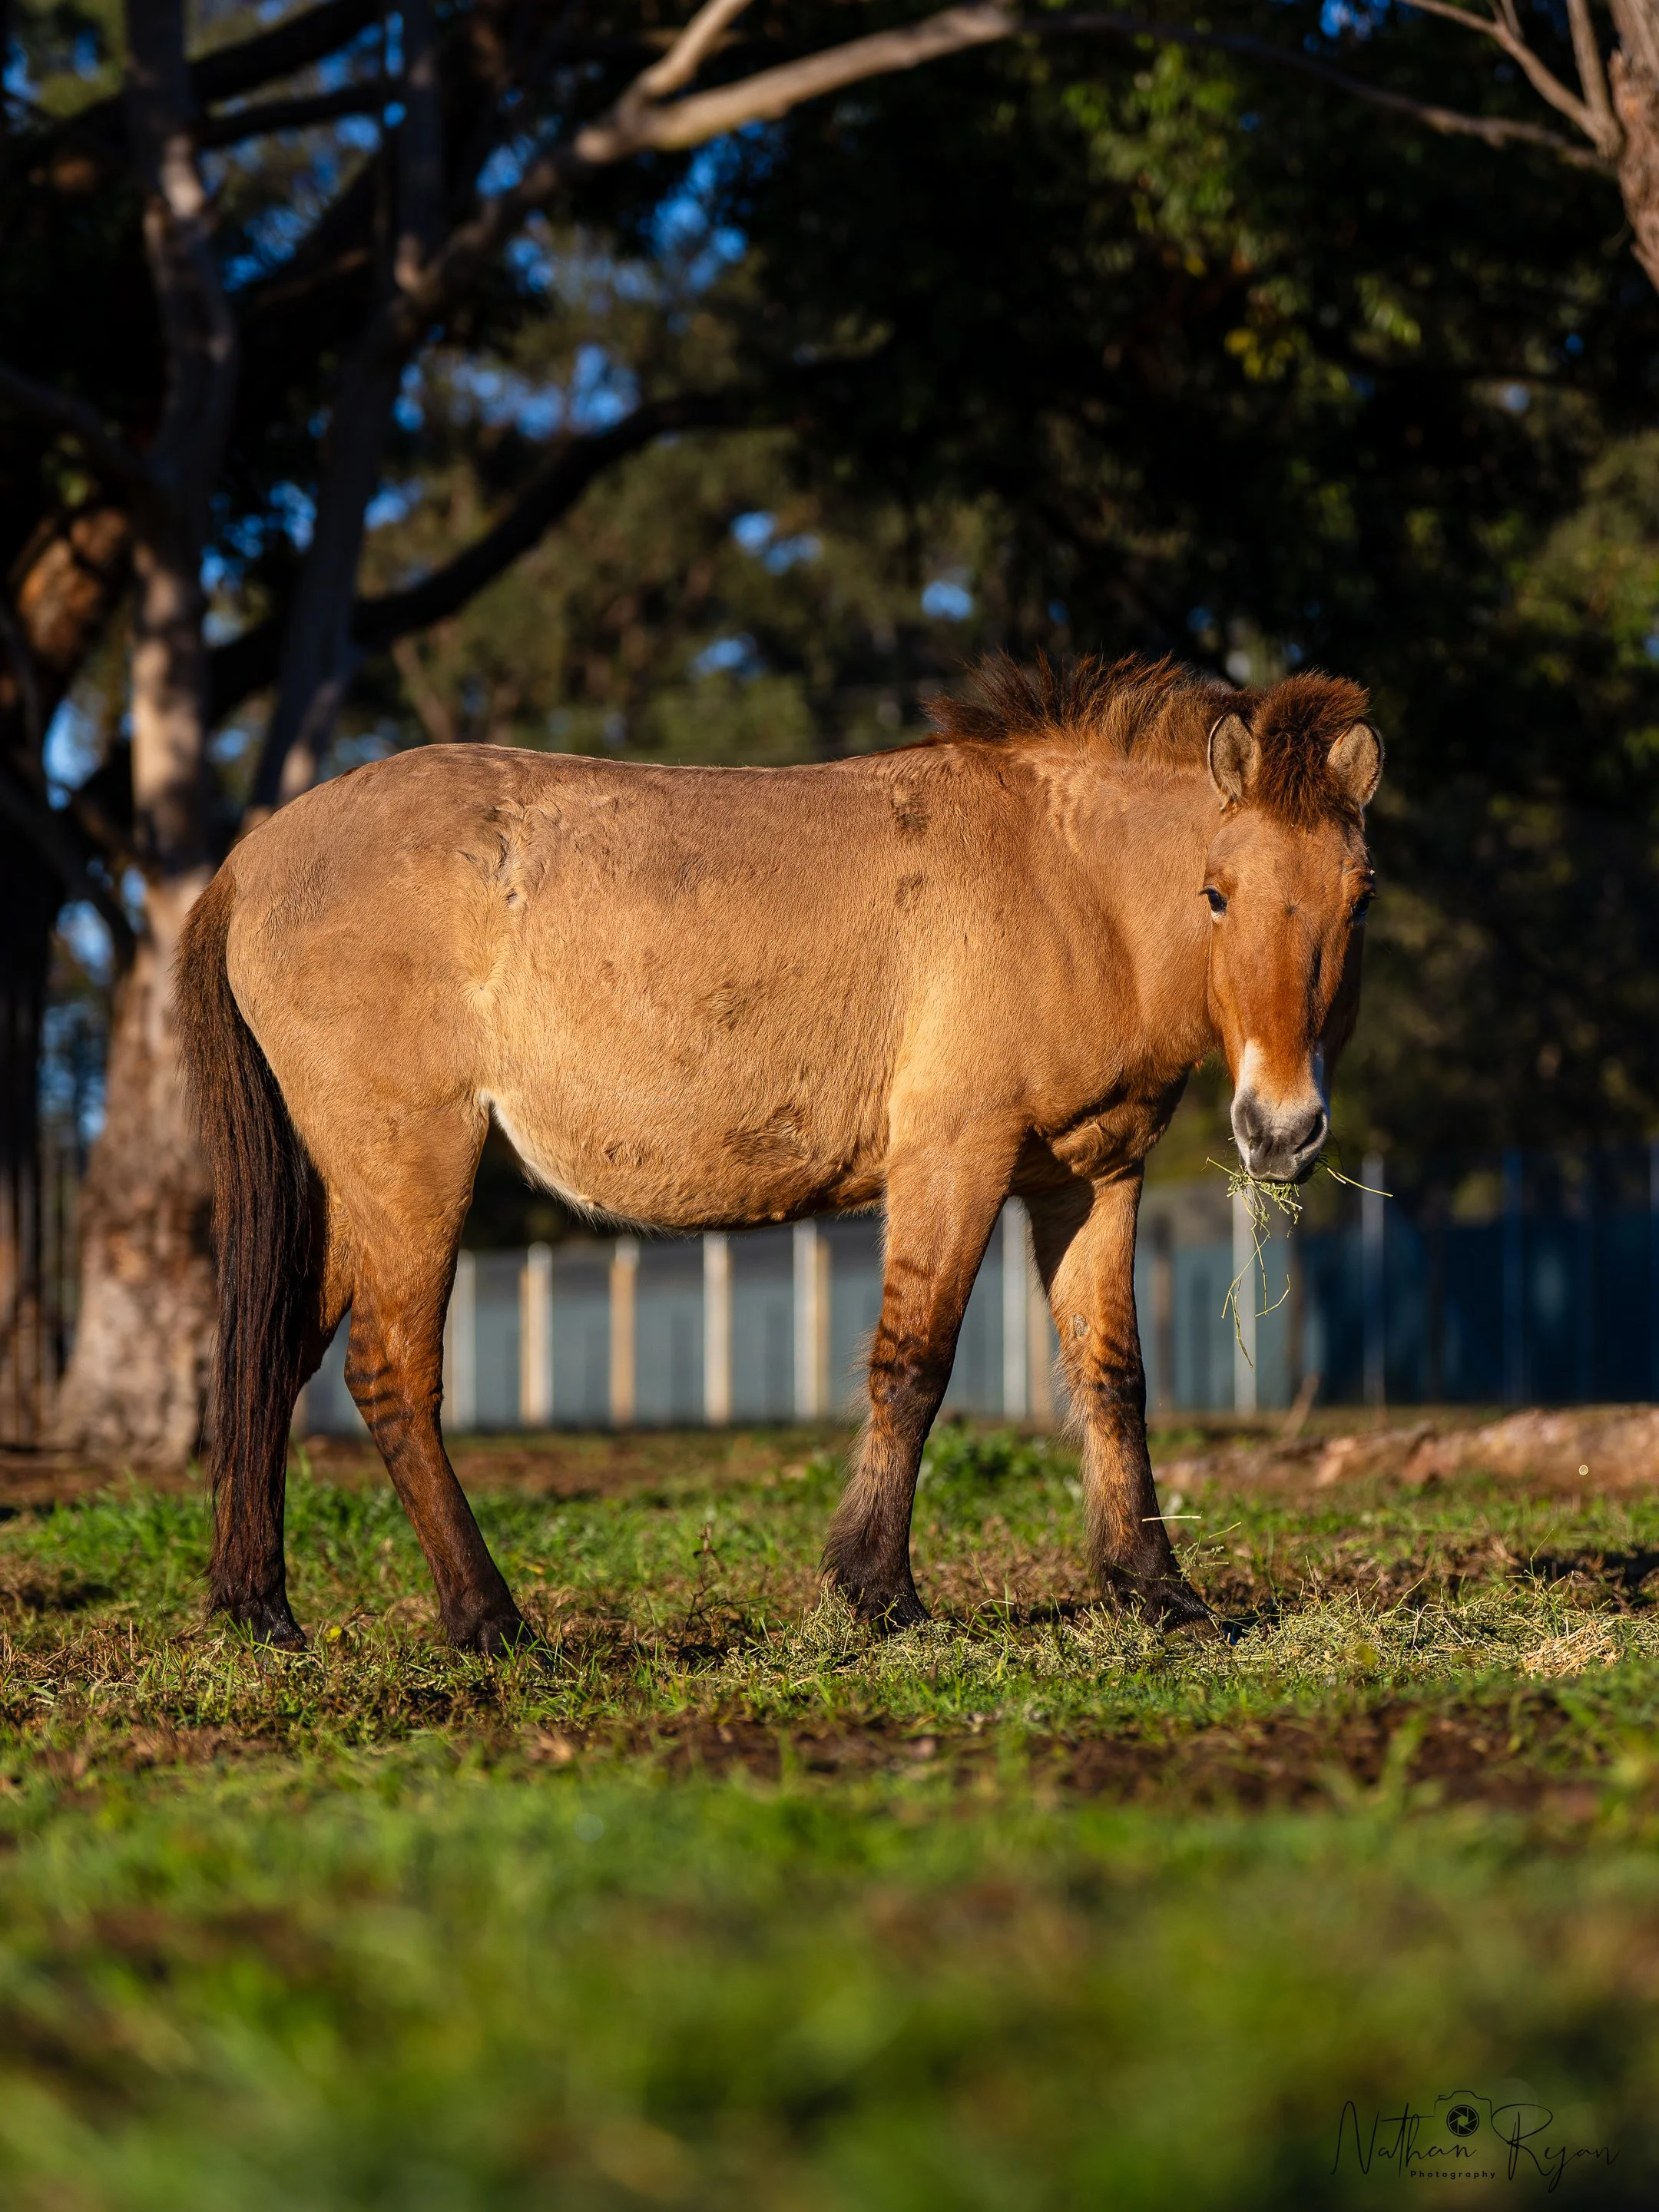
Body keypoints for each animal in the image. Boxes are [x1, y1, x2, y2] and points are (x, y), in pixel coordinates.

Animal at [177, 653, 1381, 1652]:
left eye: (1358, 899)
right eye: (1217, 891)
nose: (1281, 1130)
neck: (1068, 884)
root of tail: (252, 860)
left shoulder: (1092, 1176)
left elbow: (1113, 1375)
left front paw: (1158, 1590)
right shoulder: (955, 1157)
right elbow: (913, 1364)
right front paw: (879, 1591)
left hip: (356, 1190)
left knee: (278, 1358)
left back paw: (258, 1605)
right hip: (413, 1167)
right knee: (391, 1374)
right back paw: (487, 1618)